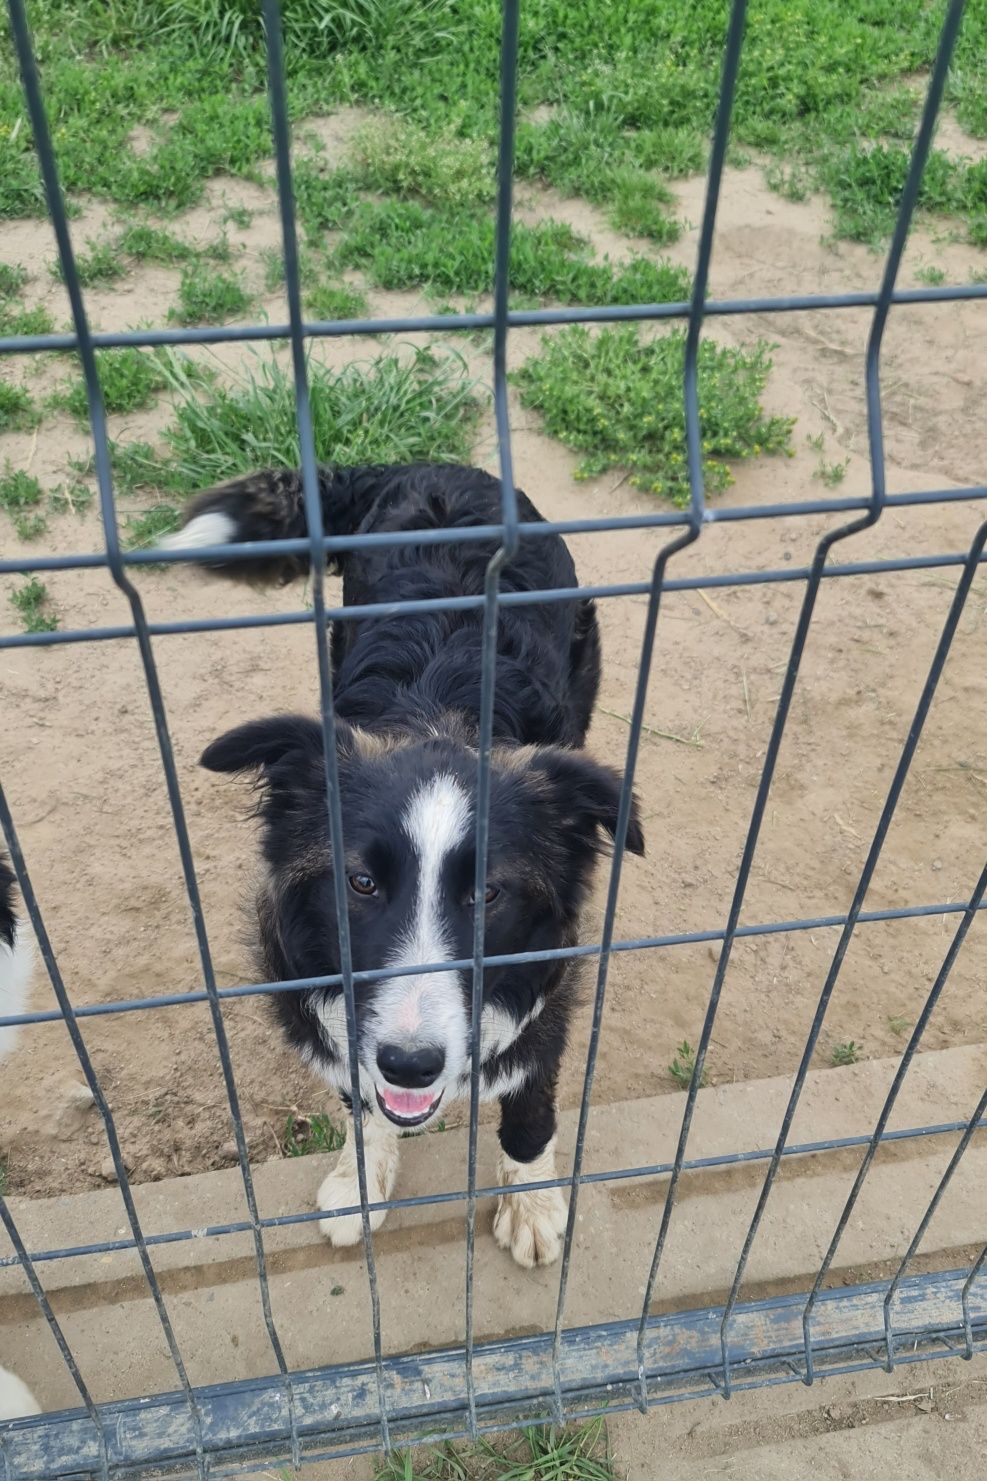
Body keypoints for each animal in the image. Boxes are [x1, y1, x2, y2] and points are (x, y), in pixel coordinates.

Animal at [165, 467, 643, 1267]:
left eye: (487, 893)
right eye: (361, 882)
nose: (412, 1065)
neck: (439, 715)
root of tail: (437, 467)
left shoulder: (547, 979)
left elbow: (530, 1105)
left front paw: (532, 1204)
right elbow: (363, 1100)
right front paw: (360, 1181)